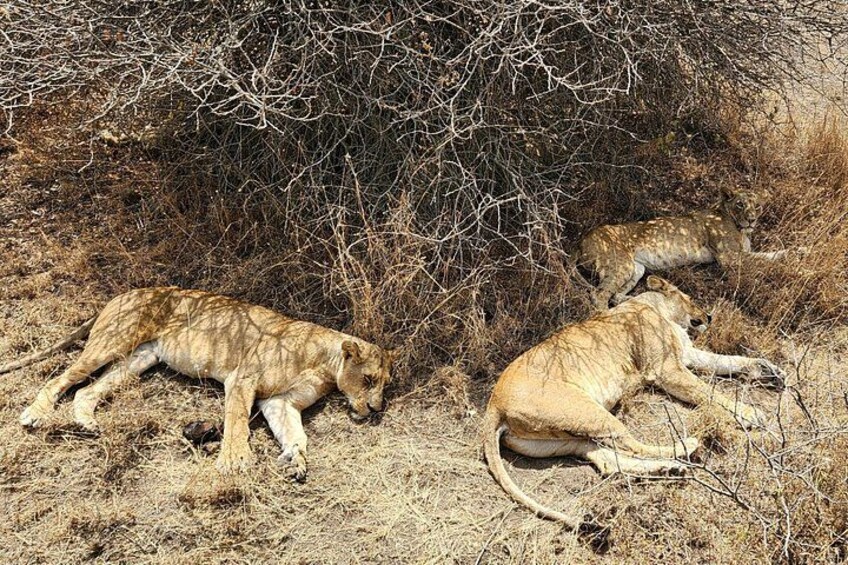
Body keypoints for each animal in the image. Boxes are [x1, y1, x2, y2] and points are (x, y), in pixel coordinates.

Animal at [1, 287, 398, 477]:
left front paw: (296, 460)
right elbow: (236, 423)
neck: (324, 363)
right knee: (61, 378)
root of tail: (123, 293)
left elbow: (295, 434)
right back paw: (35, 414)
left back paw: (86, 422)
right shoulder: (242, 378)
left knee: (86, 390)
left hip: (139, 358)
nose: (376, 409)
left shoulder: (279, 402)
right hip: (113, 341)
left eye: (385, 385)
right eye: (369, 378)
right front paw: (234, 462)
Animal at [482, 276, 784, 527]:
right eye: (690, 298)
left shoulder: (686, 355)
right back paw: (685, 448)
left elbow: (728, 360)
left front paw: (768, 370)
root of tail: (493, 405)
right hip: (587, 410)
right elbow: (709, 392)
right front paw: (749, 413)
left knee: (607, 459)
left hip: (564, 435)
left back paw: (670, 469)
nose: (709, 315)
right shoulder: (666, 370)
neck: (654, 306)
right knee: (632, 444)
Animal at [577, 187, 806, 309]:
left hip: (636, 269)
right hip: (620, 264)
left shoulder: (740, 254)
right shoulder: (729, 258)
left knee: (615, 296)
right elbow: (765, 261)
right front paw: (796, 264)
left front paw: (800, 251)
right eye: (740, 204)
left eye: (757, 206)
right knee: (599, 295)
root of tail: (582, 241)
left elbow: (768, 255)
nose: (751, 219)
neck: (741, 229)